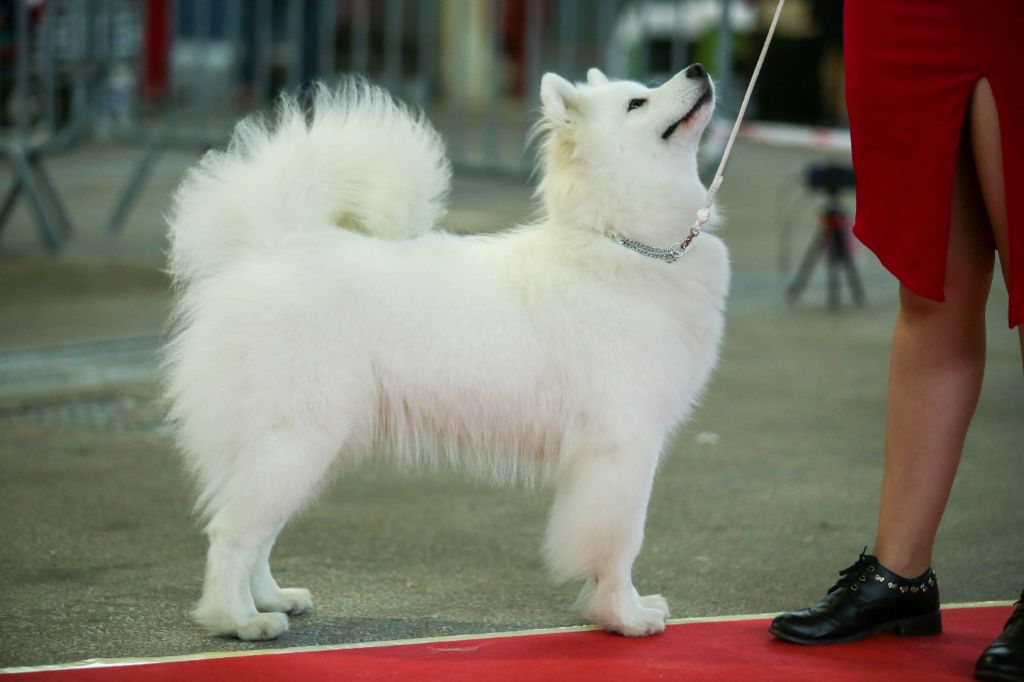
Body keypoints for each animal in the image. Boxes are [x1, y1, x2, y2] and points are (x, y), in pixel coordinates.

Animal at [165, 64, 728, 641]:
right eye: (638, 103)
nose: (697, 69)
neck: (622, 242)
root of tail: (273, 245)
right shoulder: (623, 445)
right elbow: (621, 542)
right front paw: (624, 616)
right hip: (296, 438)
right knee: (231, 535)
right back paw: (239, 620)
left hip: (305, 447)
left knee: (259, 533)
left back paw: (271, 599)